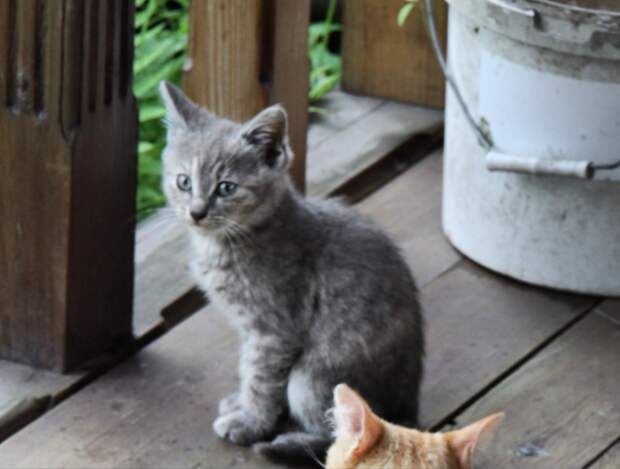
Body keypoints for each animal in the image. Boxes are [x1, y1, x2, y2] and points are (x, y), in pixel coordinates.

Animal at [157, 81, 424, 460]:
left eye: (226, 187)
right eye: (183, 182)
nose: (196, 212)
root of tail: (408, 407)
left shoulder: (275, 330)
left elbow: (260, 380)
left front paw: (249, 423)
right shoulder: (254, 331)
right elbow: (247, 369)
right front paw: (241, 403)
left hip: (310, 378)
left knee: (352, 435)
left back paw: (288, 444)